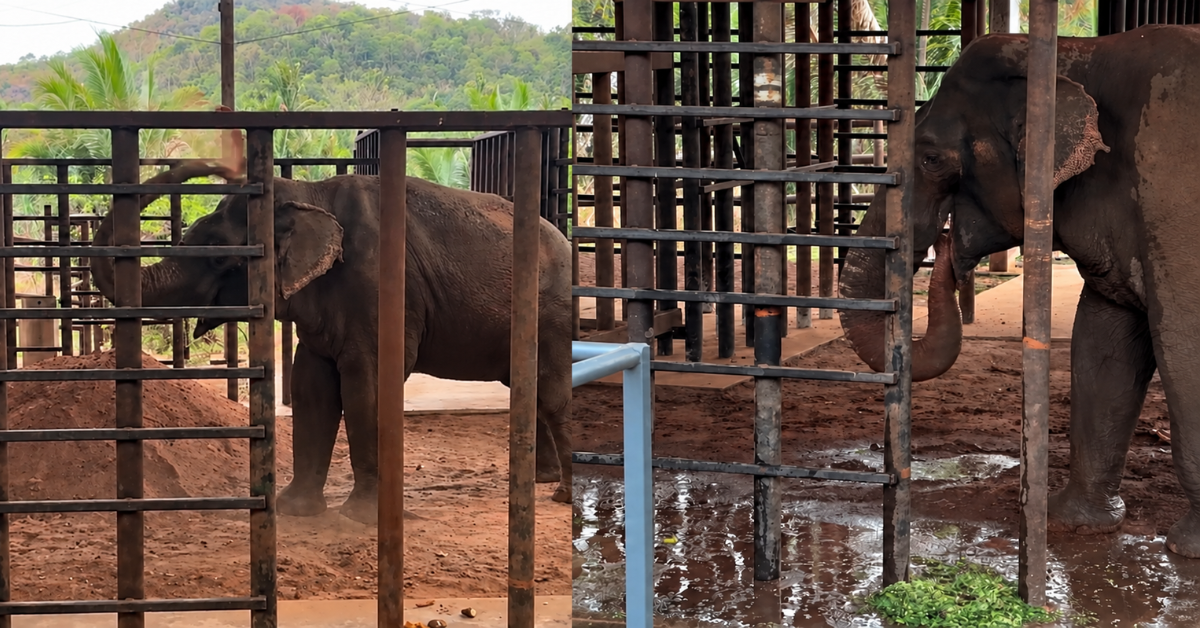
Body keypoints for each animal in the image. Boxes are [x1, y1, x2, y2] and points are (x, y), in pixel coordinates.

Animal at [87, 160, 574, 524]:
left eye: (219, 257)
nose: (216, 163)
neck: (309, 194)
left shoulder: (380, 286)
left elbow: (366, 386)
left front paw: (362, 518)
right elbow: (311, 387)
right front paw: (295, 510)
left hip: (551, 315)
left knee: (550, 396)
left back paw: (559, 494)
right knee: (527, 390)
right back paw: (539, 479)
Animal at [837, 25, 1200, 558]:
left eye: (930, 157)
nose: (946, 244)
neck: (1077, 53)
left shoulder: (1173, 193)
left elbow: (1183, 342)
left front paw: (1189, 550)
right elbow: (1103, 343)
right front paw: (1077, 525)